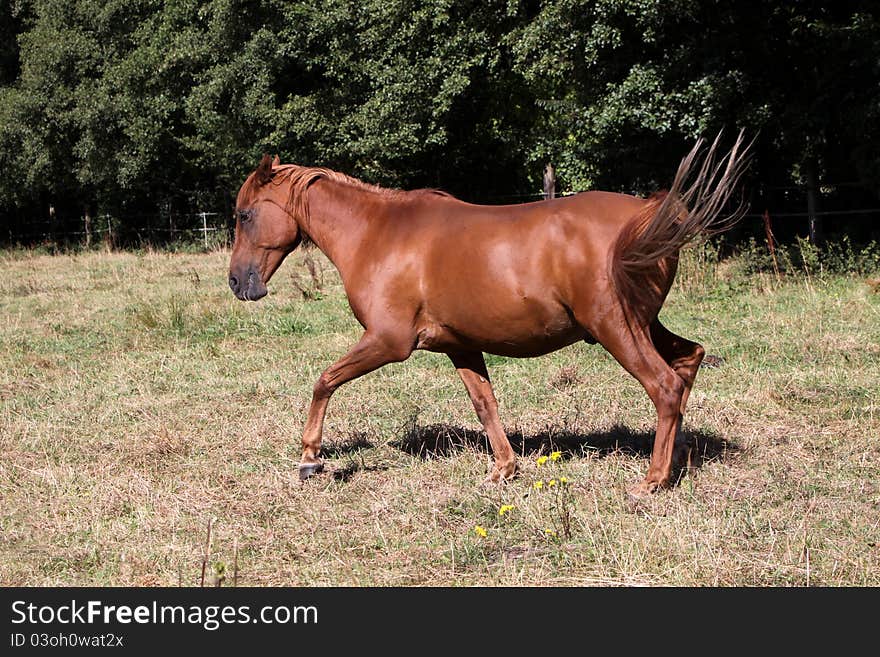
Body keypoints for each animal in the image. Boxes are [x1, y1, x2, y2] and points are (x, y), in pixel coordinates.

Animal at [229, 135, 748, 498]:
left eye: (245, 215)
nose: (237, 283)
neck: (378, 236)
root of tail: (648, 213)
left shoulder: (388, 342)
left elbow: (325, 380)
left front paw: (310, 458)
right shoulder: (460, 345)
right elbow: (485, 404)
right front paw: (503, 469)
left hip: (616, 328)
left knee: (664, 386)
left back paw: (652, 480)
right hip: (643, 324)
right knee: (688, 362)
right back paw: (678, 460)